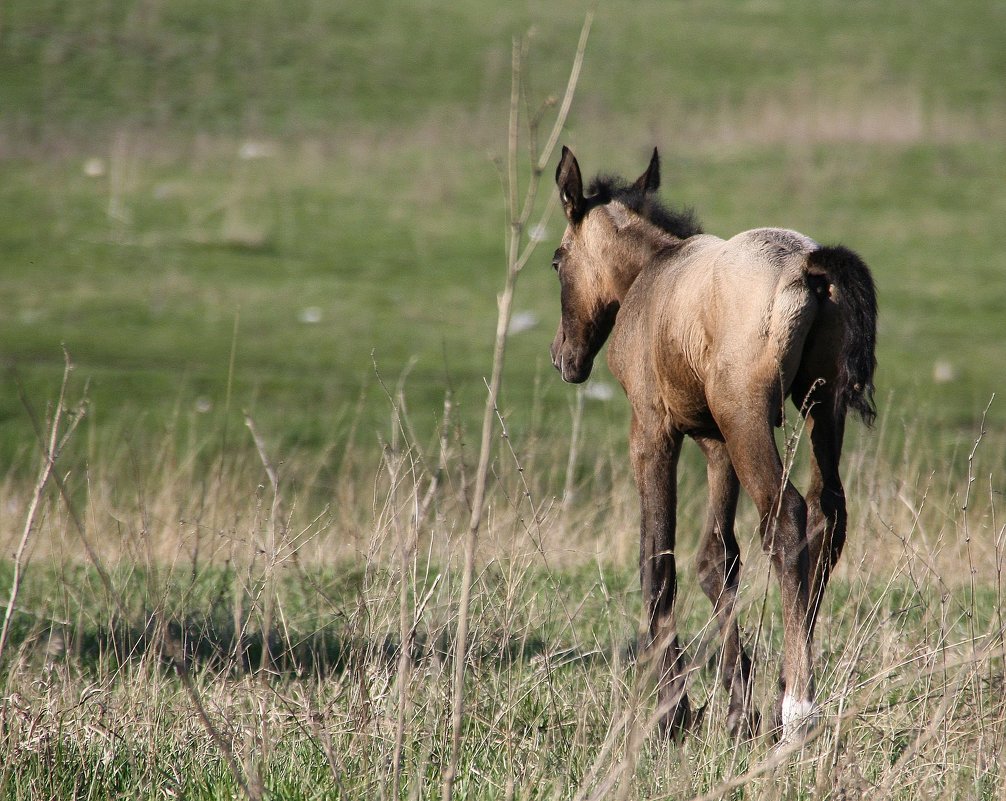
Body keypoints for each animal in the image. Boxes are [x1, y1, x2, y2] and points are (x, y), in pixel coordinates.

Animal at [547, 146, 877, 740]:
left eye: (557, 261)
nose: (564, 357)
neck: (651, 276)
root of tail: (810, 268)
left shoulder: (653, 429)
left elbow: (657, 560)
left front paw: (671, 708)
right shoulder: (714, 440)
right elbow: (716, 559)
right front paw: (737, 706)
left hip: (748, 417)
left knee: (786, 518)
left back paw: (799, 707)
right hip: (821, 408)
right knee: (829, 514)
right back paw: (784, 685)